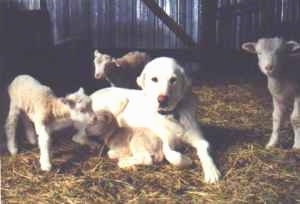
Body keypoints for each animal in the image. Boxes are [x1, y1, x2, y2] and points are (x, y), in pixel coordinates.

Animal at [89, 57, 220, 183]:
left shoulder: (200, 140)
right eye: (154, 79)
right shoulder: (165, 142)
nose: (162, 99)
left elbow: (205, 153)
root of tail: (91, 94)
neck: (172, 114)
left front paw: (212, 172)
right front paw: (186, 159)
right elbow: (174, 157)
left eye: (173, 79)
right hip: (119, 102)